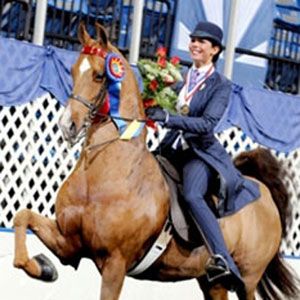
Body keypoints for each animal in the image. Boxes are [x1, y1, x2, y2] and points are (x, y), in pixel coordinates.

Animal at [13, 24, 300, 300]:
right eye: (72, 72)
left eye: (98, 75)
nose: (67, 126)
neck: (101, 173)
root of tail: (261, 191)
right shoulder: (69, 244)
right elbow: (22, 217)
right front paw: (43, 267)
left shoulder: (116, 262)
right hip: (212, 283)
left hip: (247, 280)